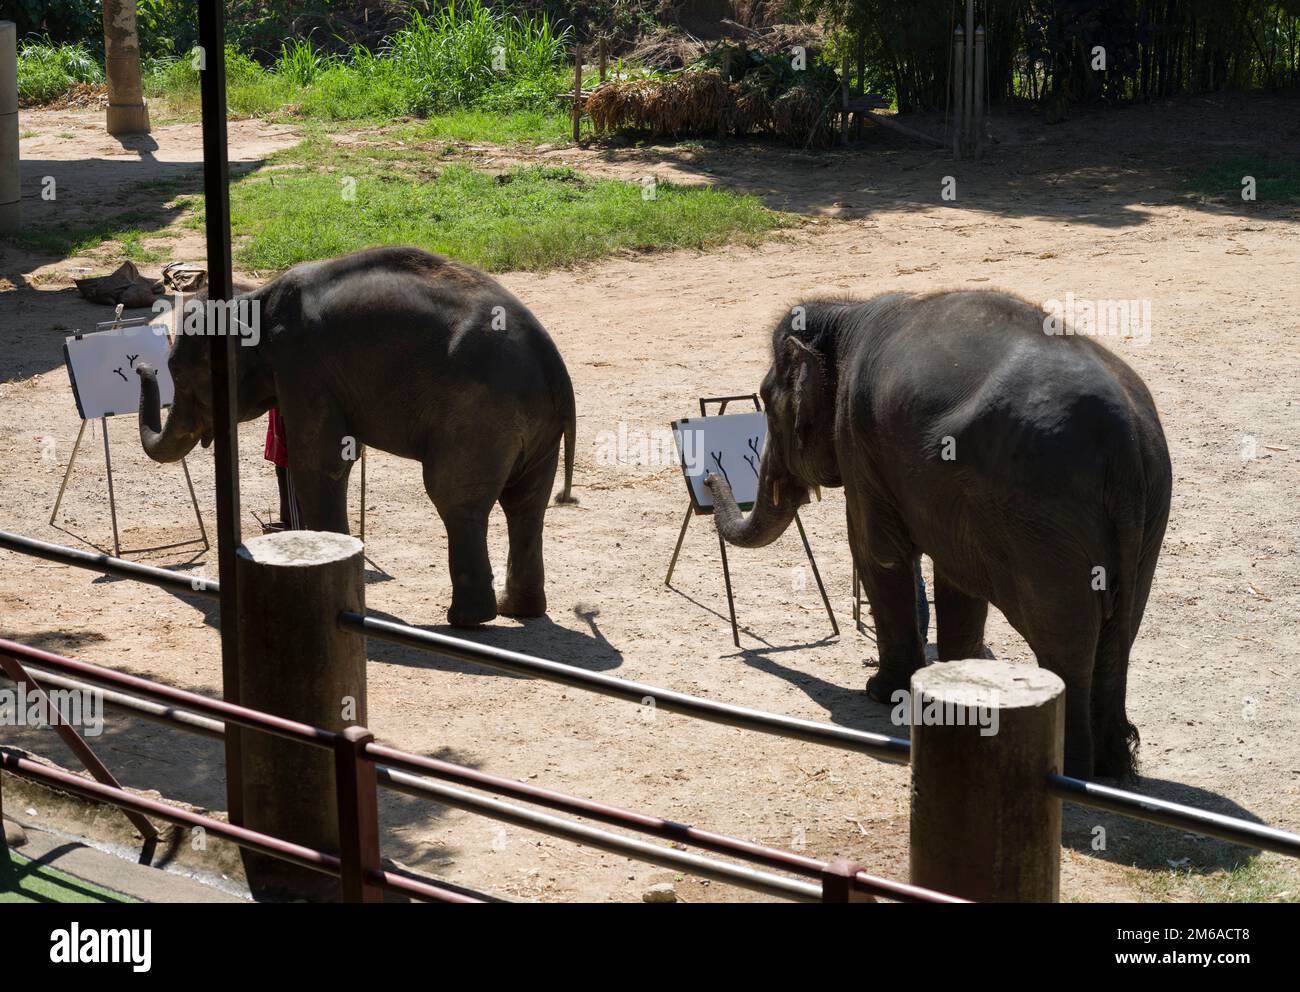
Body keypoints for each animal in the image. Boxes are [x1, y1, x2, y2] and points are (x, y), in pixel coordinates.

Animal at [135, 244, 574, 624]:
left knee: (455, 497)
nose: (142, 366)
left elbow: (318, 465)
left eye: (178, 373)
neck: (254, 298)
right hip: (537, 428)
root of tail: (553, 367)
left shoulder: (303, 366)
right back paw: (519, 609)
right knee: (525, 503)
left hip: (478, 416)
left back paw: (467, 620)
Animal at [707, 291, 1175, 780]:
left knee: (1064, 638)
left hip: (1046, 519)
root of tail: (1123, 438)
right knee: (1120, 628)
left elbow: (877, 553)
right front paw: (956, 685)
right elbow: (957, 578)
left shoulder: (858, 441)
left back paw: (1072, 769)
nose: (707, 476)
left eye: (765, 400)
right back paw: (1114, 768)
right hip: (1148, 511)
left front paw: (880, 691)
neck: (845, 314)